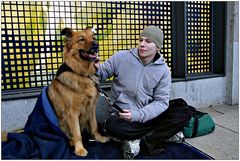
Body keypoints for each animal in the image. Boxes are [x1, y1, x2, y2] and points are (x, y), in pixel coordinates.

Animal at [47, 27, 109, 157]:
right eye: (81, 39)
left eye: (93, 37)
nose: (96, 44)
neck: (82, 74)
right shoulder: (72, 112)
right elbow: (77, 133)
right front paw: (79, 149)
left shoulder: (91, 107)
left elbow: (94, 125)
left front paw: (99, 138)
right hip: (61, 124)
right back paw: (71, 142)